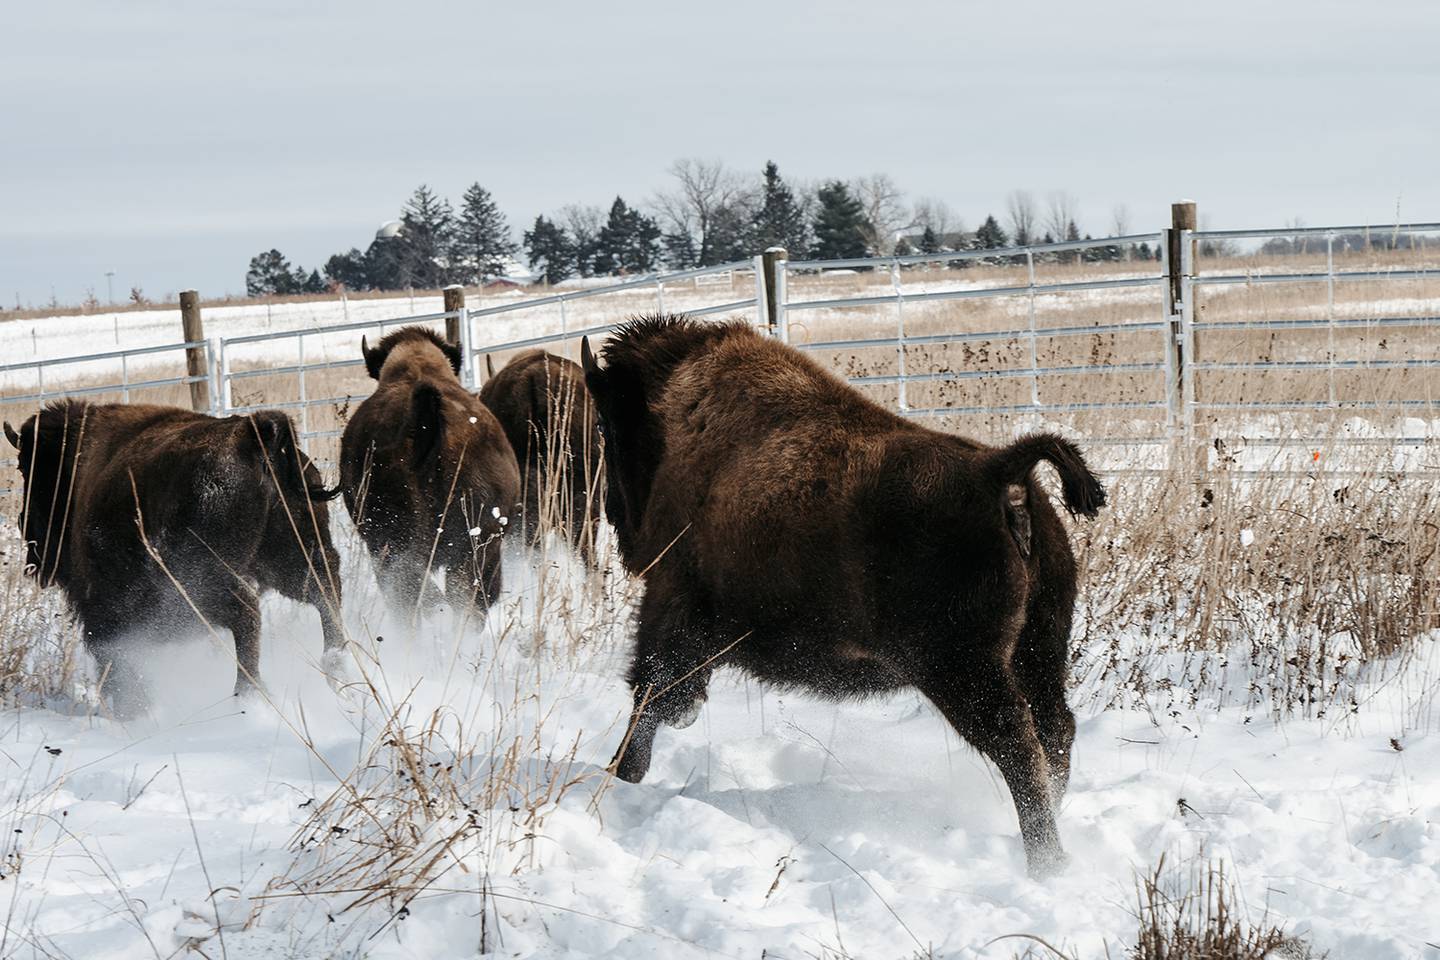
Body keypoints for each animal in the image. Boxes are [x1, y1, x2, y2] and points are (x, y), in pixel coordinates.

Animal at [4, 401, 346, 713]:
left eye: (27, 469)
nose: (29, 538)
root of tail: (253, 433)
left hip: (210, 582)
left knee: (247, 615)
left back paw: (248, 695)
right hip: (297, 558)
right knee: (324, 594)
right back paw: (336, 668)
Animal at [580, 314, 1106, 878]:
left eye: (606, 425)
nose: (615, 518)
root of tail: (999, 471)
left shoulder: (671, 603)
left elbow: (648, 692)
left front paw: (622, 774)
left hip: (963, 671)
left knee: (1019, 747)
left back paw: (1045, 863)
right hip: (1038, 651)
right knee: (1054, 732)